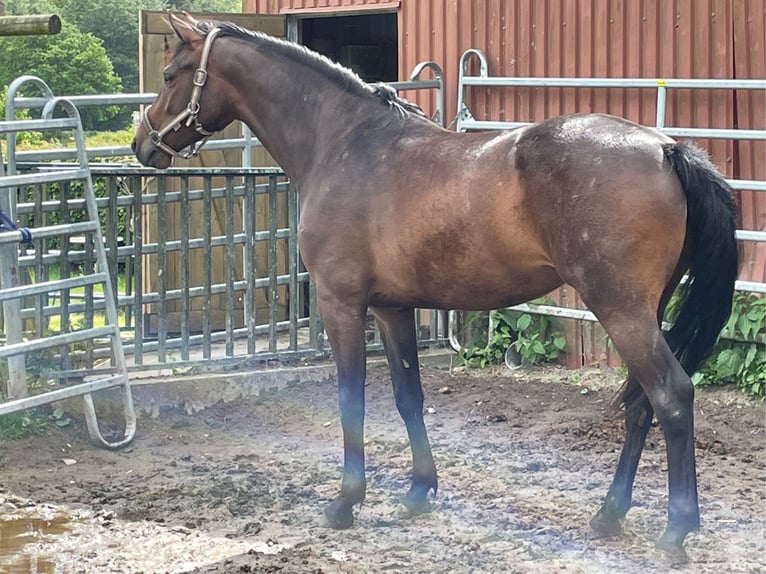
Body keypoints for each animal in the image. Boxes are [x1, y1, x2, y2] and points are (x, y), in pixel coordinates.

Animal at [135, 12, 740, 564]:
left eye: (169, 74)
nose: (143, 144)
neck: (345, 145)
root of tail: (663, 148)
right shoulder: (391, 308)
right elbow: (409, 397)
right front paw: (418, 492)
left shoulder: (341, 304)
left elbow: (352, 400)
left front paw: (345, 502)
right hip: (644, 312)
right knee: (642, 404)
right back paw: (609, 515)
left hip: (621, 311)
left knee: (671, 397)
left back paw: (675, 533)